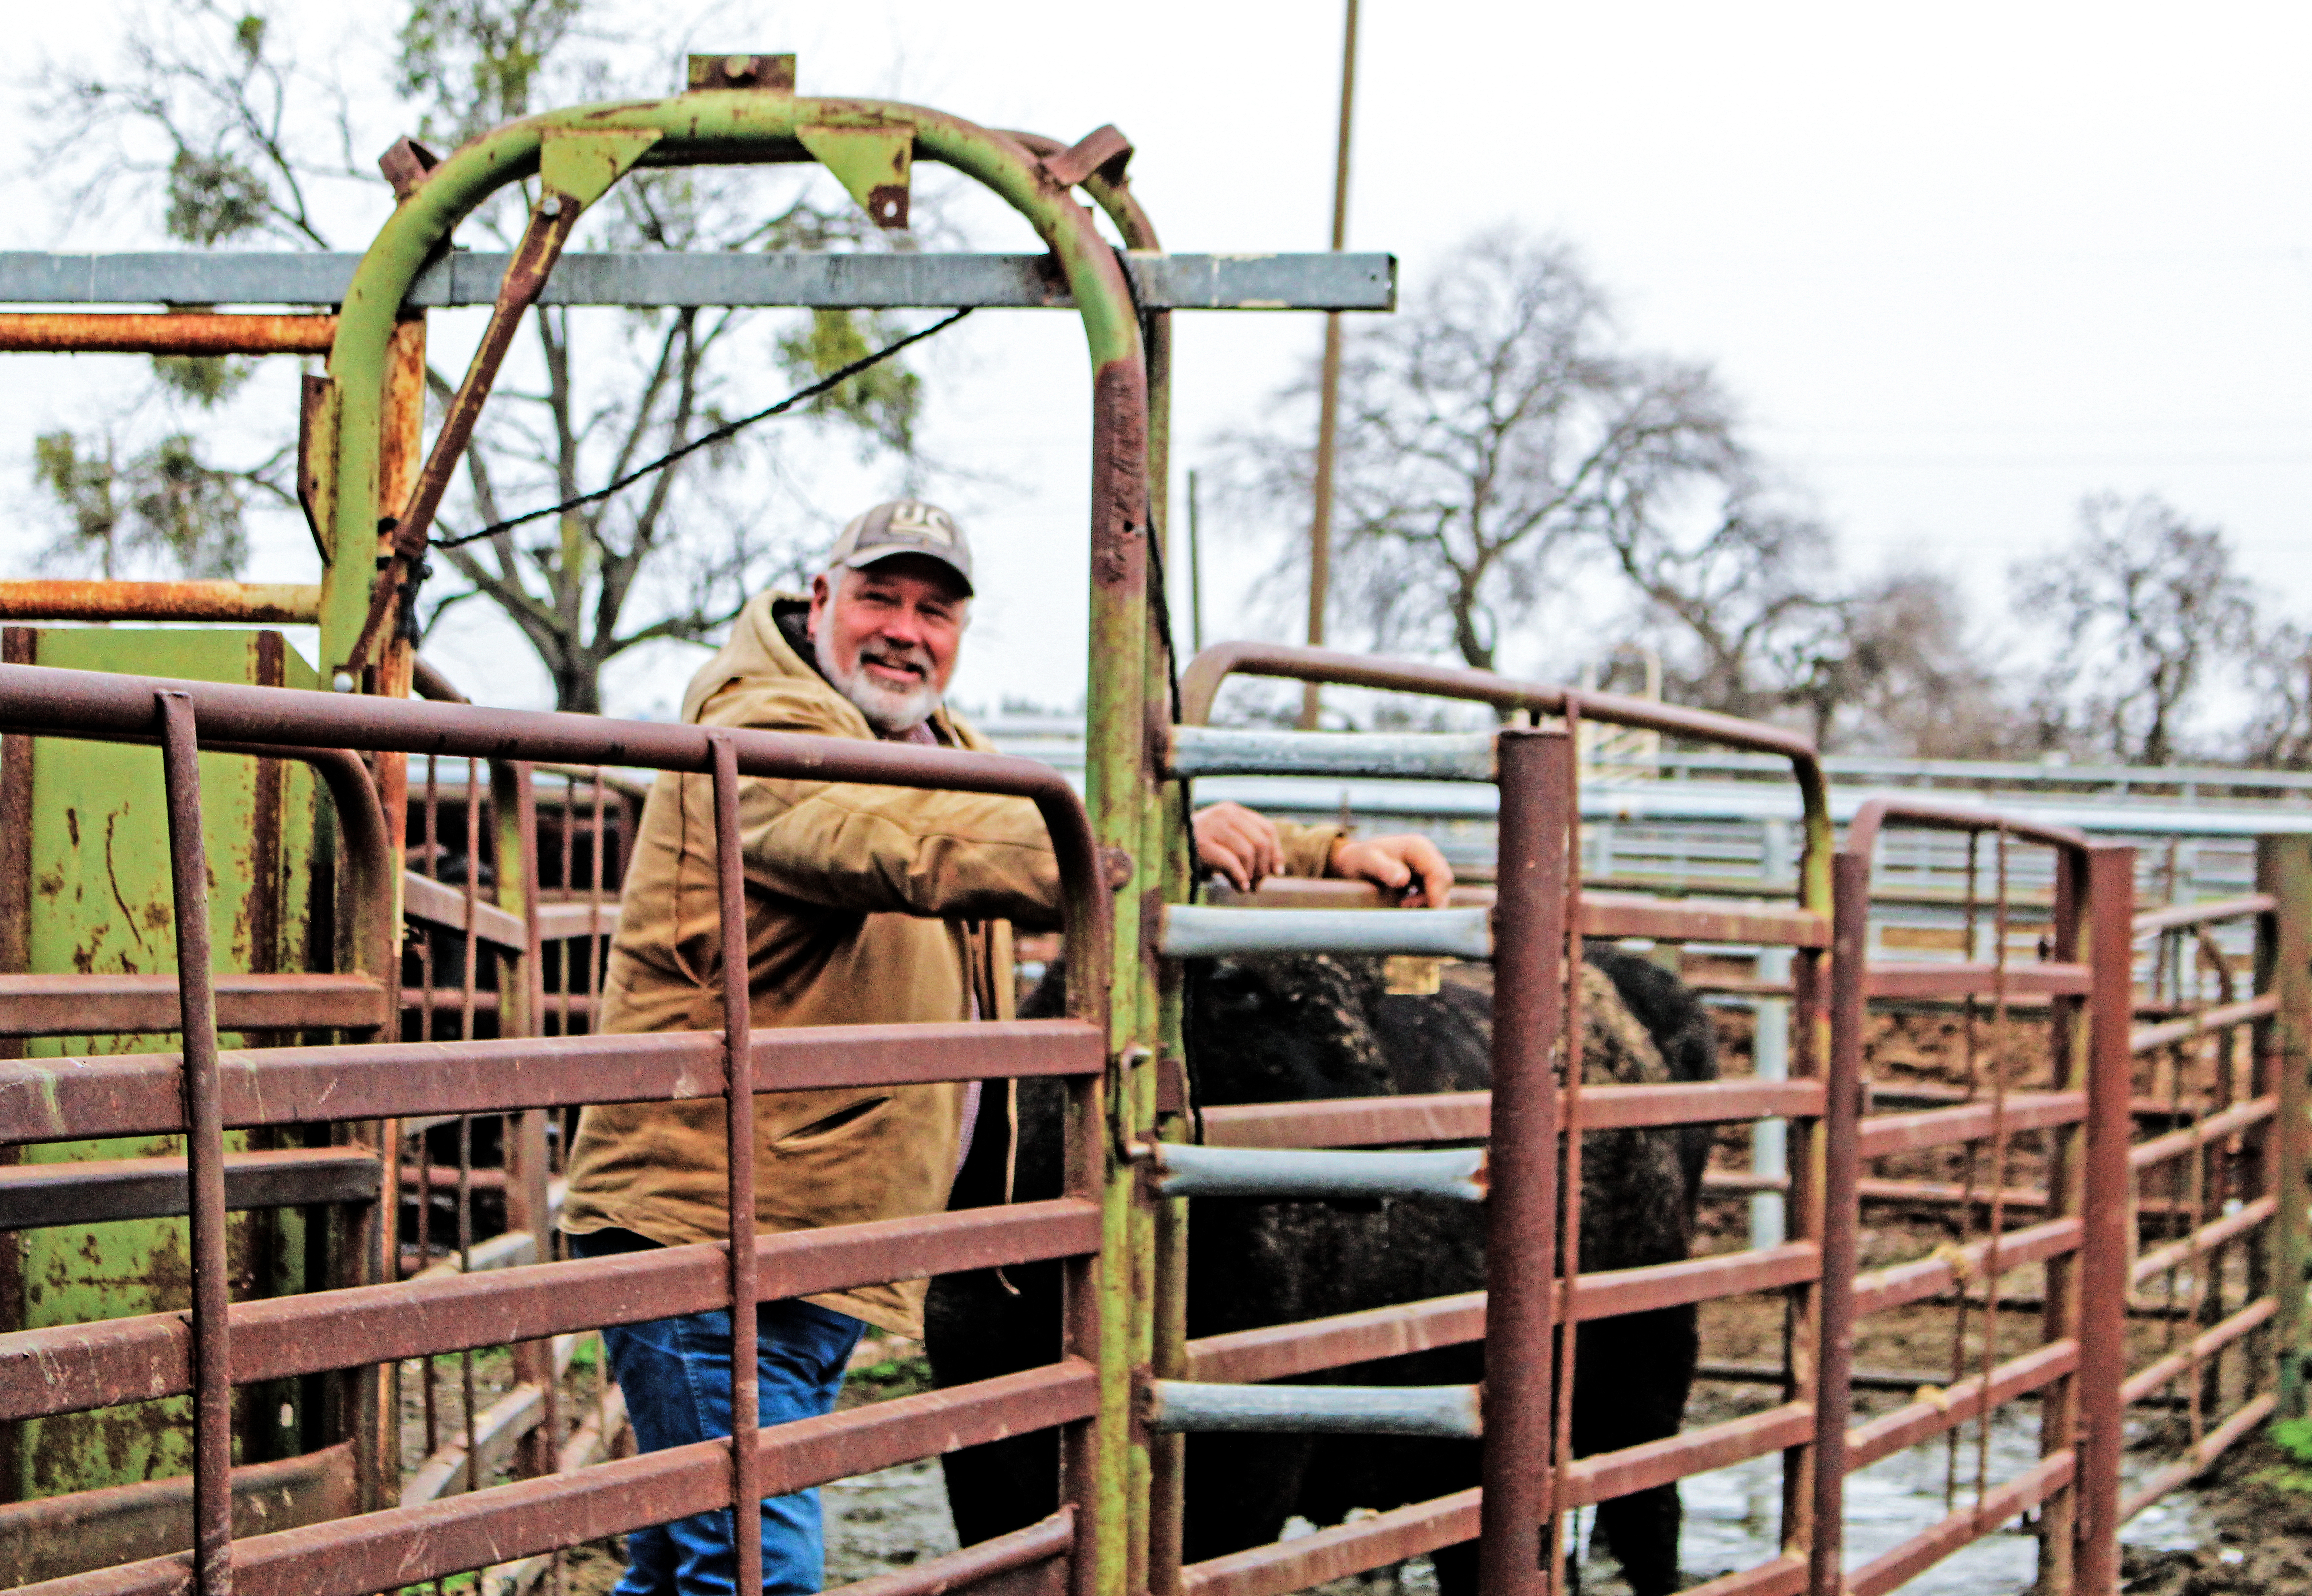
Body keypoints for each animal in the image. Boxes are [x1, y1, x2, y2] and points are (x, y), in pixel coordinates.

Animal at [924, 943, 1720, 1591]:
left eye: (1367, 996)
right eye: (1236, 986)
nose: (1386, 1132)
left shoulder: (1243, 1484)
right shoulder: (982, 1481)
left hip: (1643, 1373)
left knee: (1651, 1520)